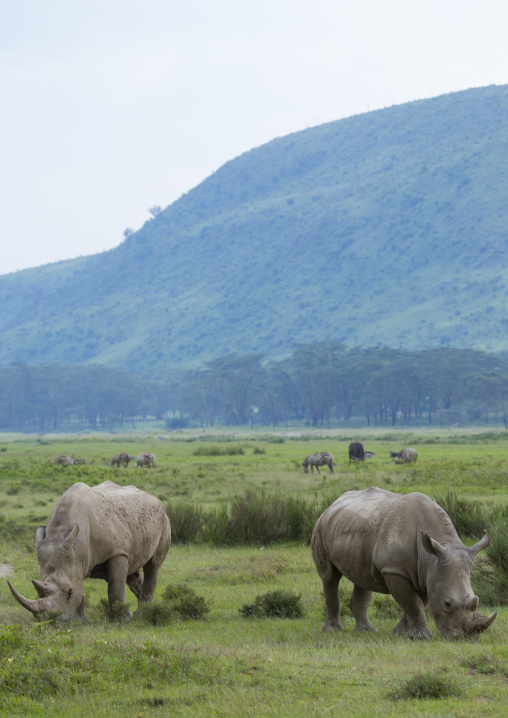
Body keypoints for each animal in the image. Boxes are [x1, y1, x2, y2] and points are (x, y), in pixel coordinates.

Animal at [8, 480, 171, 622]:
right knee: (132, 571)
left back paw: (143, 613)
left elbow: (115, 586)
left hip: (163, 518)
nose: (52, 622)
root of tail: (156, 499)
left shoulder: (117, 552)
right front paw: (81, 622)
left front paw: (121, 621)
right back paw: (140, 611)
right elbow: (80, 586)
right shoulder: (76, 560)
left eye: (69, 592)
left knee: (153, 565)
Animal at [311, 487, 497, 640]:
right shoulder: (395, 570)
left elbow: (418, 603)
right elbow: (413, 604)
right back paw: (333, 630)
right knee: (329, 577)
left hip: (352, 529)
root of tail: (332, 504)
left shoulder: (426, 574)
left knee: (362, 578)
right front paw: (421, 637)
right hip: (320, 527)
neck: (431, 557)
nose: (466, 637)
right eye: (447, 604)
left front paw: (400, 633)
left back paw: (367, 630)